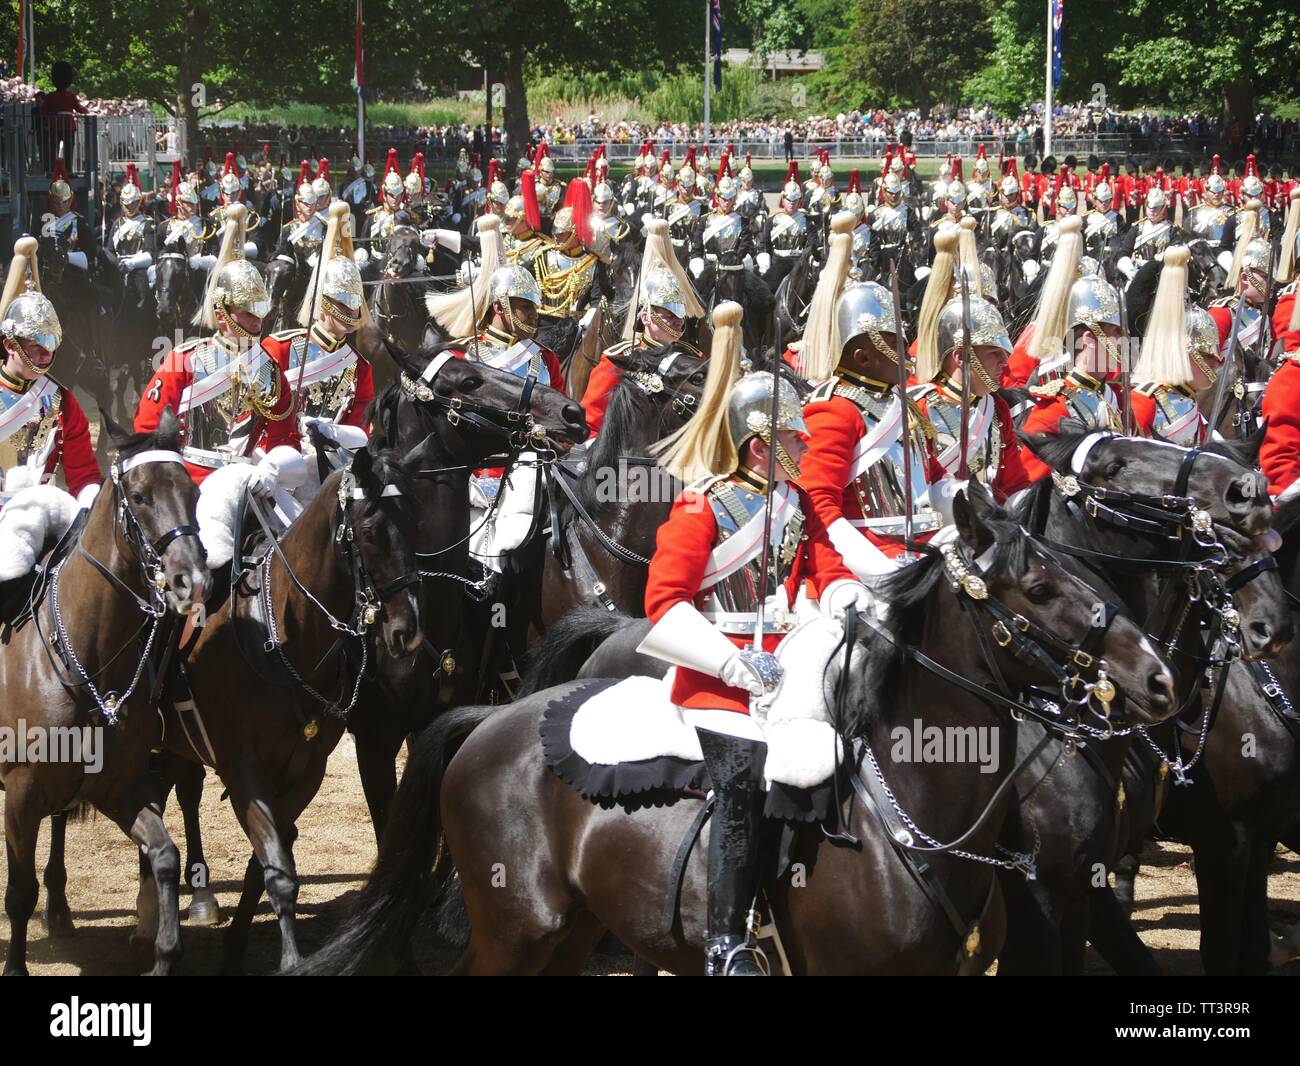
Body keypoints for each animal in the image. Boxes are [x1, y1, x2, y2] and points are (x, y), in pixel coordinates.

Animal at [0, 413, 206, 972]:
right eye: (139, 495)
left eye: (193, 492)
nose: (191, 578)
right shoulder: (19, 796)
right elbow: (18, 892)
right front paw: (15, 963)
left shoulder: (120, 787)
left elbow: (164, 856)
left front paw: (164, 950)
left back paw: (61, 908)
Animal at [301, 488, 1180, 972]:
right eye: (1040, 587)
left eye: (1084, 573)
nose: (1157, 680)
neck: (913, 824)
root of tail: (494, 718)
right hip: (517, 931)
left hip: (572, 932)